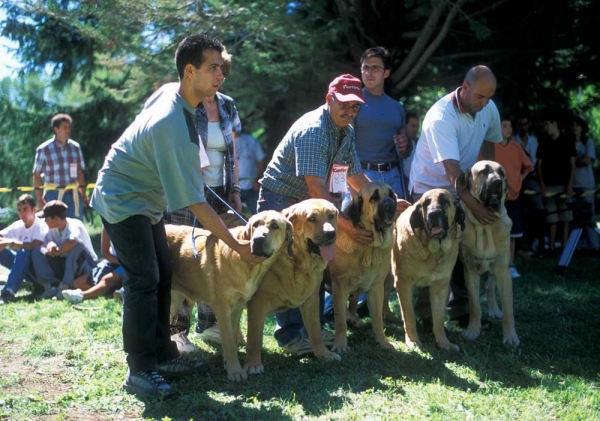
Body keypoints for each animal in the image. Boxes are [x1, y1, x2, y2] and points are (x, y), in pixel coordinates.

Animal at [166, 210, 292, 380]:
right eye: (255, 224)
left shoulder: (237, 307)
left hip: (173, 299)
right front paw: (235, 371)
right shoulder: (222, 307)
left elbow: (232, 338)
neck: (249, 266)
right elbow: (229, 342)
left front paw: (228, 364)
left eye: (274, 226)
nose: (258, 239)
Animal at [241, 198, 340, 374]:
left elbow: (315, 331)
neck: (297, 262)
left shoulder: (311, 301)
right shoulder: (257, 305)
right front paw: (252, 364)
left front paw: (324, 354)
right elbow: (255, 339)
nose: (330, 234)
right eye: (312, 219)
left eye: (331, 216)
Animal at [392, 189, 466, 350]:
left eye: (445, 201)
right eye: (426, 203)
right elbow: (409, 316)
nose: (433, 214)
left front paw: (444, 343)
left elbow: (438, 318)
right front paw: (413, 341)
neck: (433, 252)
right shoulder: (404, 284)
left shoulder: (440, 287)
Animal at [458, 160, 516, 344]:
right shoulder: (469, 272)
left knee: (490, 286)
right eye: (483, 171)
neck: (485, 228)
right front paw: (472, 330)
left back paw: (494, 310)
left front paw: (510, 336)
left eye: (502, 173)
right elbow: (475, 306)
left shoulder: (503, 272)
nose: (498, 182)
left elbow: (508, 310)